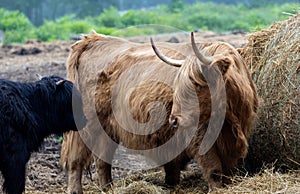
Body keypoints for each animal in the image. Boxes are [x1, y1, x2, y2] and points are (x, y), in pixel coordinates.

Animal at [60, 31, 258, 193]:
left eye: (196, 83)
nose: (174, 120)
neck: (229, 119)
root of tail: (94, 39)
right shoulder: (199, 136)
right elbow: (213, 168)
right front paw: (216, 188)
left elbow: (228, 169)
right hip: (87, 124)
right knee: (77, 159)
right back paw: (76, 189)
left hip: (106, 128)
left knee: (102, 160)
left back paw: (108, 189)